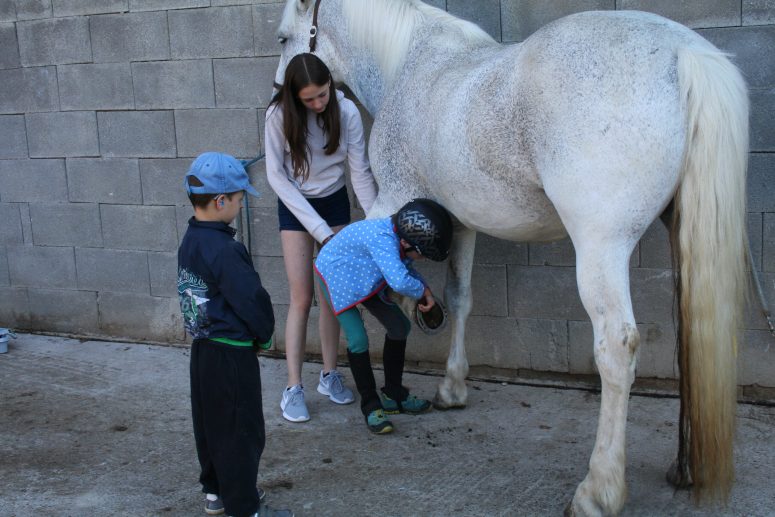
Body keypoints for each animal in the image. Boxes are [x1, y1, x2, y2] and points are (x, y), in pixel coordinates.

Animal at [274, 2, 752, 512]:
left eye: (283, 38)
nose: (278, 94)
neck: (413, 63)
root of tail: (686, 53)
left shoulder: (393, 202)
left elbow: (365, 283)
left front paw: (383, 391)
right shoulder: (458, 222)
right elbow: (457, 297)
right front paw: (450, 388)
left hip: (601, 246)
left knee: (616, 349)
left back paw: (598, 490)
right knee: (691, 336)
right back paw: (684, 467)